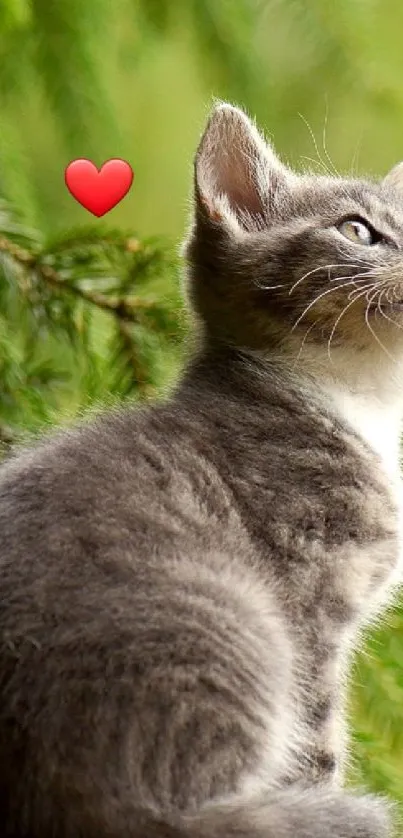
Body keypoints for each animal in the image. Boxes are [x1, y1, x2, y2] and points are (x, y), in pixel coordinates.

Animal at [0, 106, 403, 838]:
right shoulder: (310, 606)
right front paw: (323, 794)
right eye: (357, 230)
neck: (358, 403)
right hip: (231, 625)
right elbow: (317, 741)